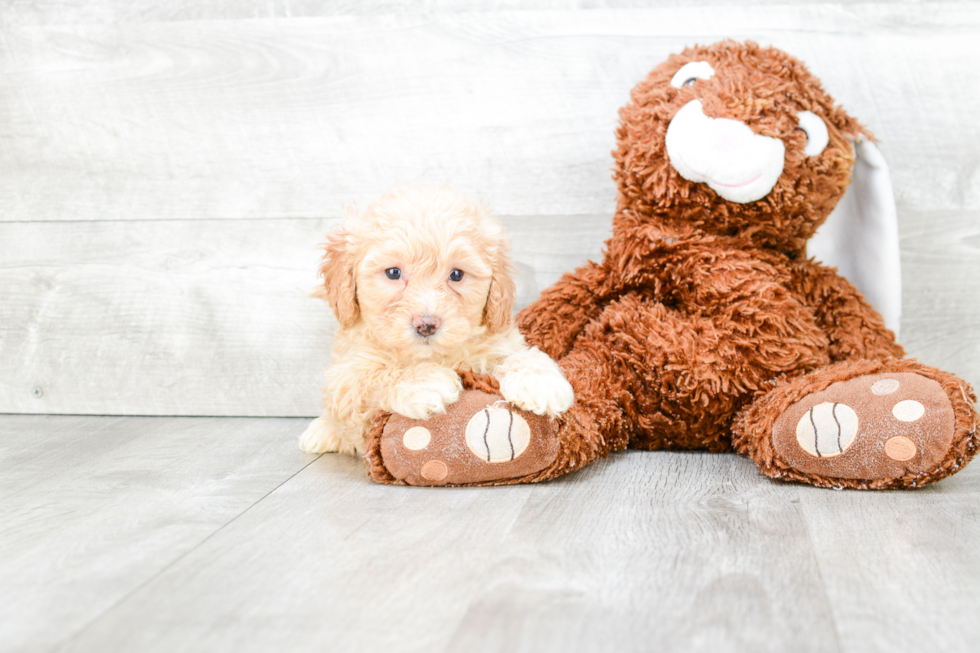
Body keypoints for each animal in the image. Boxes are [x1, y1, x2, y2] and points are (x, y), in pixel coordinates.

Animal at [300, 183, 576, 456]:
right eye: (393, 272)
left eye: (456, 274)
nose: (426, 325)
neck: (432, 355)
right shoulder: (344, 376)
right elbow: (374, 378)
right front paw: (425, 382)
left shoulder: (499, 340)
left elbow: (520, 355)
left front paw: (541, 382)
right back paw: (320, 433)